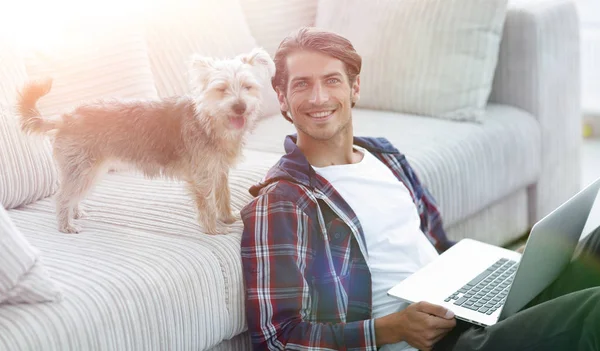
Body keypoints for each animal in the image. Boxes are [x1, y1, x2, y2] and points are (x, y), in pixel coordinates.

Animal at [15, 46, 276, 234]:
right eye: (221, 89)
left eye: (248, 87)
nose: (240, 106)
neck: (208, 121)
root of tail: (65, 118)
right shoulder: (202, 176)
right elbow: (207, 204)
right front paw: (213, 230)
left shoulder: (220, 171)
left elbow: (224, 196)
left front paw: (228, 218)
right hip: (82, 170)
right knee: (62, 196)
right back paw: (66, 225)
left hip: (87, 170)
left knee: (71, 194)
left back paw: (75, 212)